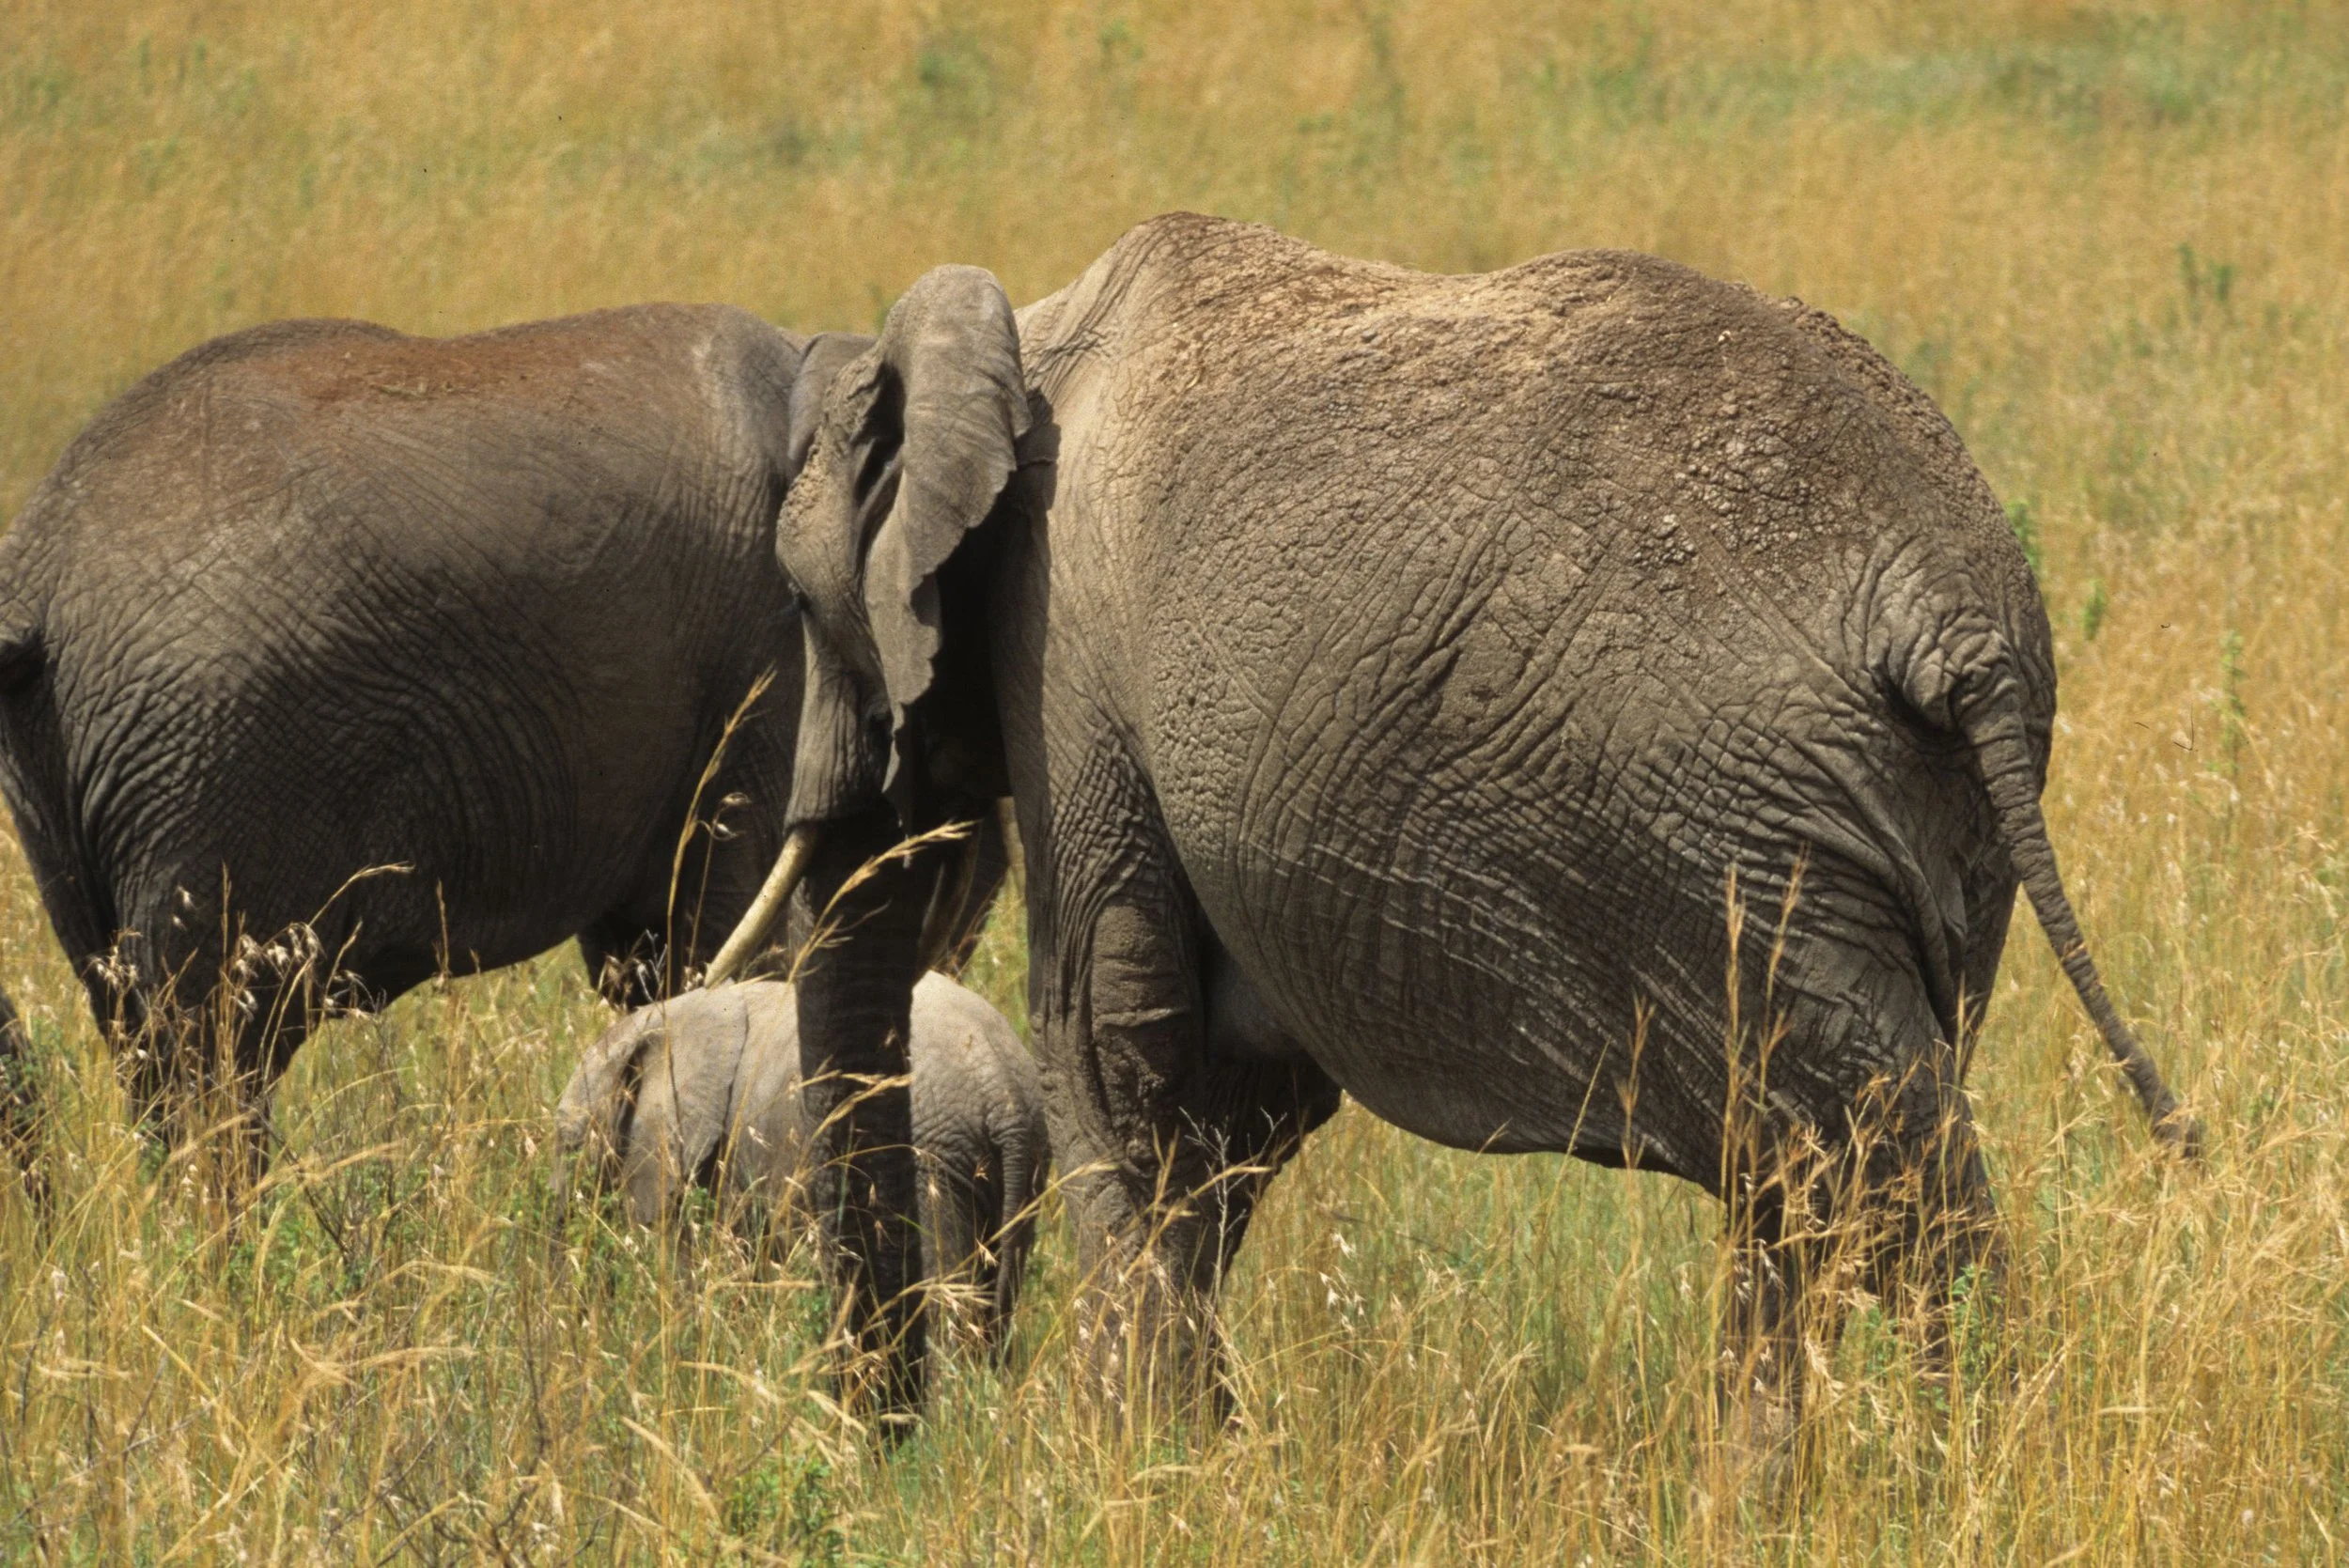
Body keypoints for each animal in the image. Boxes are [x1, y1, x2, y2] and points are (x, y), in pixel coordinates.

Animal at [0, 305, 998, 1272]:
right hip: (209, 760)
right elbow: (724, 938)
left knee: (146, 1046)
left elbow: (652, 963)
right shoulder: (765, 666)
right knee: (207, 1059)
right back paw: (226, 1279)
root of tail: (33, 572)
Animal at [713, 211, 2195, 1427]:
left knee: (1878, 1170)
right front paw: (1205, 1448)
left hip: (1743, 832)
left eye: (802, 604)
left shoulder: (1066, 658)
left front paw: (1128, 1466)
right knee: (1815, 1173)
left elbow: (1117, 1045)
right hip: (1913, 835)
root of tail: (1952, 615)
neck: (1024, 328)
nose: (892, 1436)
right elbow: (1236, 1095)